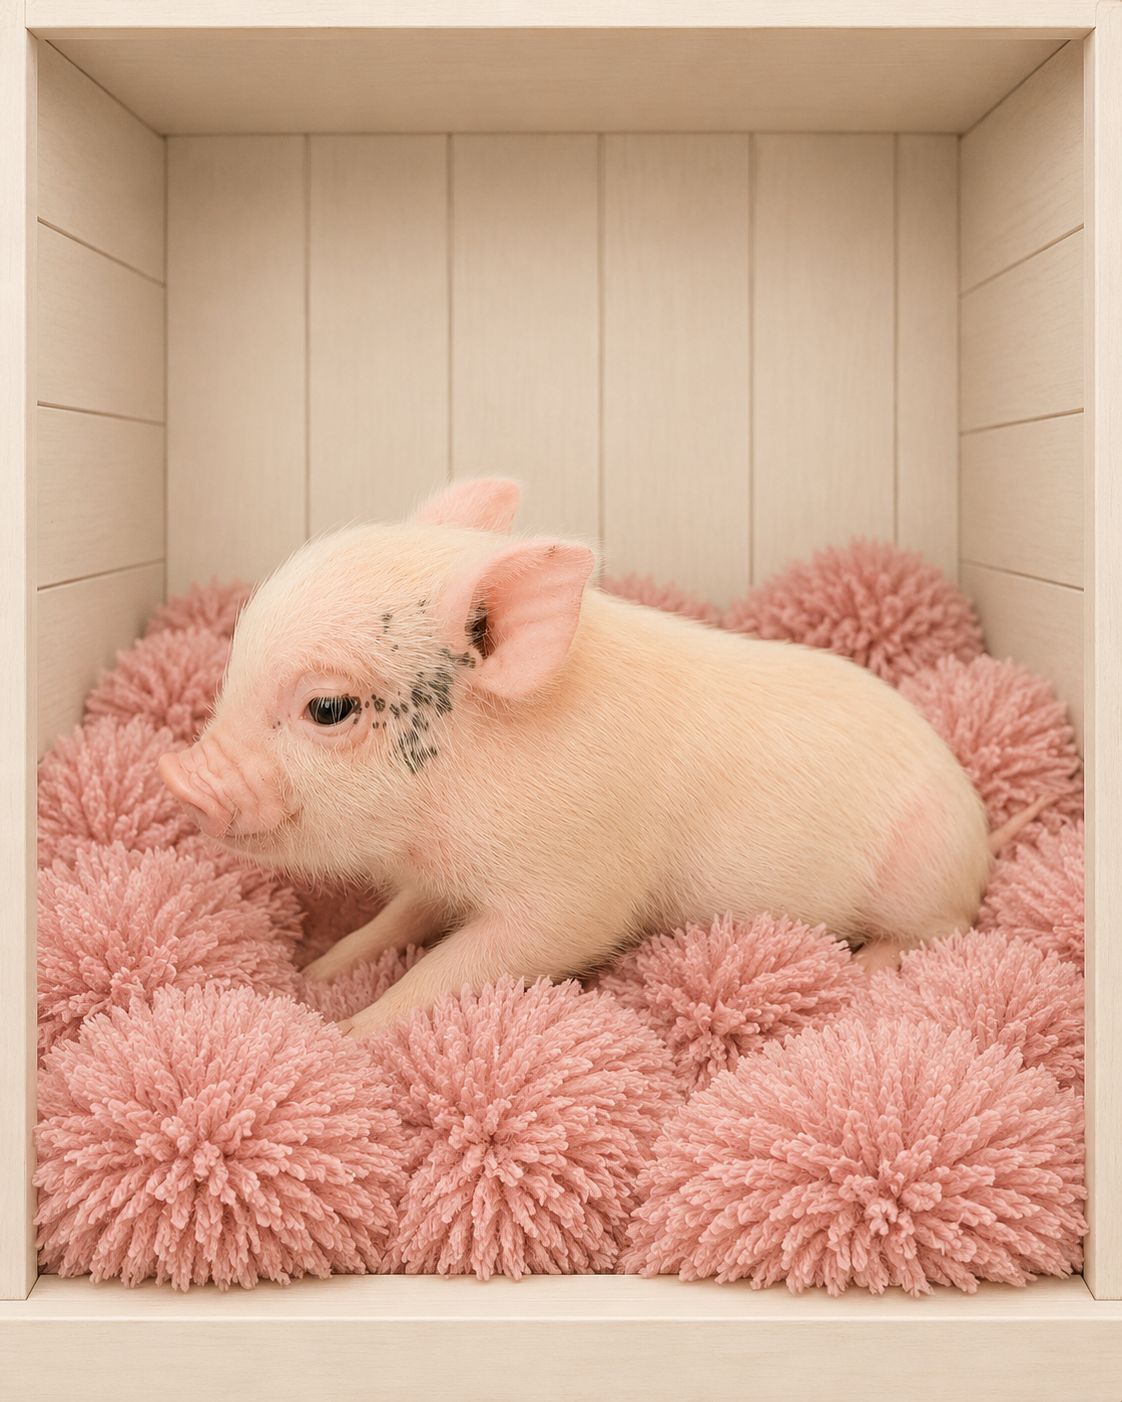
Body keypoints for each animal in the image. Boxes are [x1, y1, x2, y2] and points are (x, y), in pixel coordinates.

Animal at [160, 477, 996, 1040]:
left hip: (926, 873)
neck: (436, 823)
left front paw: (344, 1033)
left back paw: (865, 969)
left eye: (328, 708)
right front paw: (315, 973)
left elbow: (471, 960)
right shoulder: (439, 876)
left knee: (940, 932)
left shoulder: (579, 884)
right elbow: (397, 919)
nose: (181, 779)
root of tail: (978, 826)